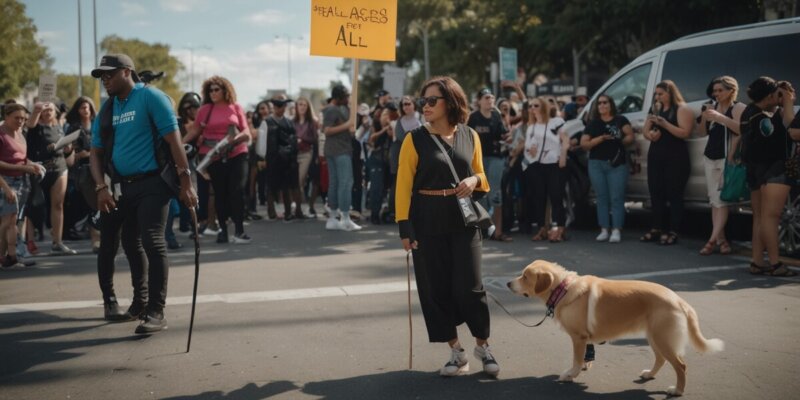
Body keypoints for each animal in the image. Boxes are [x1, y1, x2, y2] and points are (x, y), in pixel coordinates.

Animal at [506, 260, 724, 396]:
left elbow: (576, 360)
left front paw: (570, 375)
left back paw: (677, 391)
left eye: (525, 277)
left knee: (681, 366)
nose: (508, 283)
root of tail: (679, 300)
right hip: (654, 337)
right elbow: (585, 356)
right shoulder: (584, 339)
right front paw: (583, 366)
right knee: (661, 359)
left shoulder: (578, 337)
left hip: (662, 338)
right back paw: (649, 374)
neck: (562, 289)